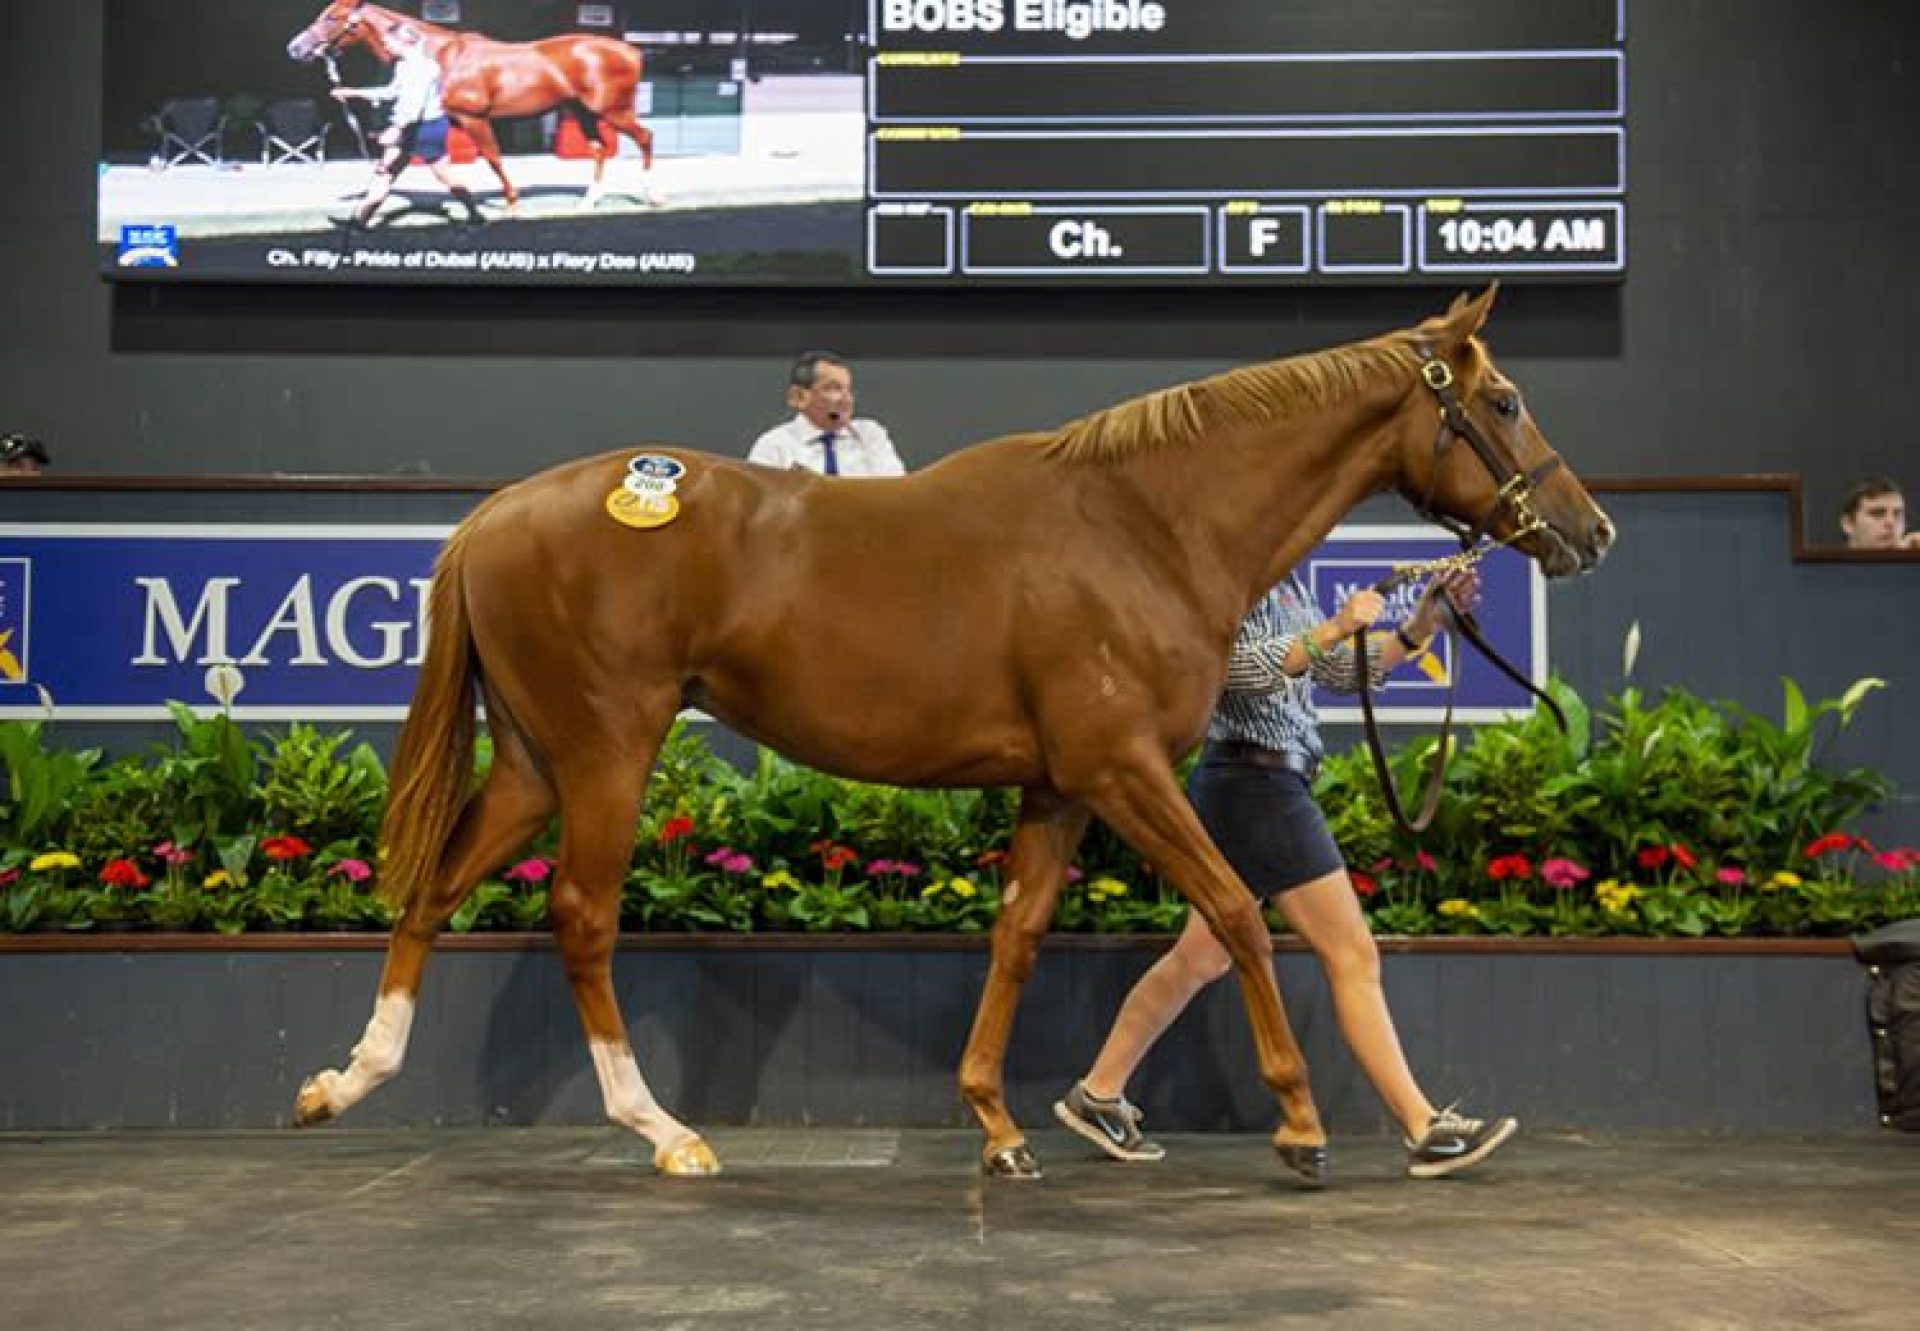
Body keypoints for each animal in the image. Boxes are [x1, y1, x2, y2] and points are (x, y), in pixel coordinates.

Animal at [284, 1, 656, 209]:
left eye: (332, 17)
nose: (295, 48)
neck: (437, 56)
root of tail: (629, 50)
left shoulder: (474, 119)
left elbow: (493, 159)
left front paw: (510, 203)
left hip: (613, 112)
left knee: (645, 138)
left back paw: (653, 196)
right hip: (583, 112)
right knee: (599, 149)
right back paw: (590, 200)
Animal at [291, 288, 1612, 1175]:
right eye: (1502, 399)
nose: (1589, 530)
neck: (1145, 525)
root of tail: (500, 512)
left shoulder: (1062, 784)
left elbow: (1017, 936)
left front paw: (997, 1122)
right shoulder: (1125, 770)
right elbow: (1239, 910)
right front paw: (1296, 1120)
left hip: (531, 761)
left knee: (433, 887)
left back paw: (345, 1080)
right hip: (607, 751)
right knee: (581, 916)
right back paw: (662, 1130)